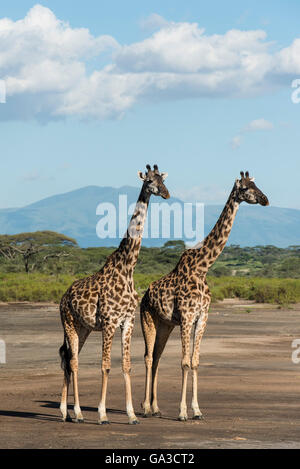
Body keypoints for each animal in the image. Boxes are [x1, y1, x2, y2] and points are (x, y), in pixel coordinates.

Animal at [58, 165, 170, 424]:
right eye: (149, 181)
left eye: (163, 180)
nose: (166, 193)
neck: (128, 268)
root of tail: (63, 297)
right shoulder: (109, 322)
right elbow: (106, 365)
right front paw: (102, 414)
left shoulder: (127, 322)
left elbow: (126, 365)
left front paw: (132, 415)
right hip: (68, 323)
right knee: (73, 362)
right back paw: (75, 412)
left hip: (83, 328)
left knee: (69, 359)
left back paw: (68, 412)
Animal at [141, 171, 270, 420]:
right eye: (246, 188)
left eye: (256, 184)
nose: (265, 199)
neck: (203, 268)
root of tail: (144, 295)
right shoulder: (187, 316)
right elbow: (184, 362)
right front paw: (182, 412)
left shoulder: (202, 317)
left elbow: (195, 361)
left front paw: (197, 410)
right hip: (147, 319)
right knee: (148, 357)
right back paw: (144, 408)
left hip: (165, 324)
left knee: (158, 358)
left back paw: (156, 408)